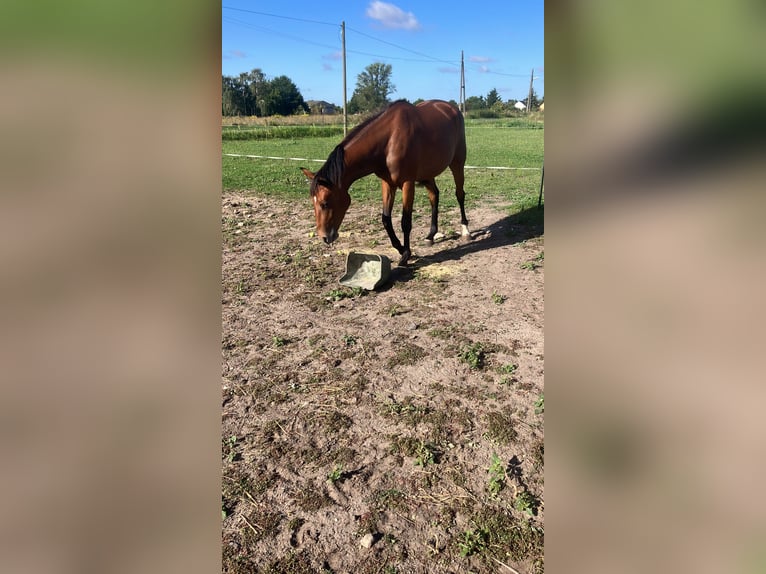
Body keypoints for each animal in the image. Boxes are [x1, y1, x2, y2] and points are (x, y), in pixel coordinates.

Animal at [304, 99, 472, 268]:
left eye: (325, 203)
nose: (324, 237)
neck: (389, 140)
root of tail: (451, 108)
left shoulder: (407, 183)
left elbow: (405, 222)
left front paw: (405, 255)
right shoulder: (387, 184)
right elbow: (386, 219)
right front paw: (400, 248)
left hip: (457, 163)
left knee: (459, 194)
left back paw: (466, 230)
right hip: (428, 173)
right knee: (434, 196)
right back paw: (430, 236)